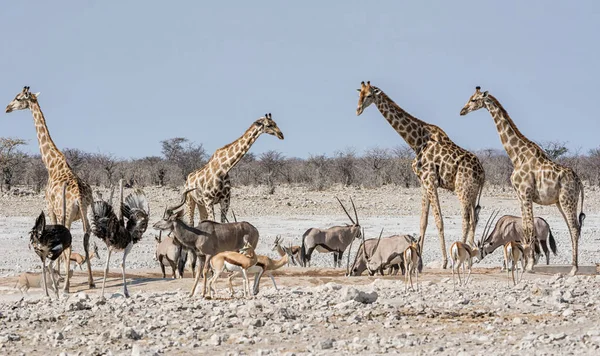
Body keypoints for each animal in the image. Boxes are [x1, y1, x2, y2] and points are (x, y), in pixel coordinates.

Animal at [5, 86, 95, 290]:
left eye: (18, 98)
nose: (7, 108)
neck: (51, 165)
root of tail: (79, 195)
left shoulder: (50, 208)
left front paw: (58, 276)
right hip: (87, 212)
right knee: (86, 238)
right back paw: (91, 282)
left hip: (66, 214)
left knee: (70, 241)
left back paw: (66, 285)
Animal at [358, 82, 486, 268]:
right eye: (359, 94)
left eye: (369, 95)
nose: (358, 109)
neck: (416, 141)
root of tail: (483, 173)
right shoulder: (424, 183)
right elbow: (423, 222)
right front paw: (419, 258)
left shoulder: (431, 181)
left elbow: (439, 221)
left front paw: (444, 262)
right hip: (473, 193)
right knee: (474, 218)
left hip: (463, 190)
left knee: (467, 219)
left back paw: (462, 257)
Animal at [460, 87, 584, 276]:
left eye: (474, 100)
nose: (462, 111)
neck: (516, 155)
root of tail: (580, 183)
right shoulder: (520, 196)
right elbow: (525, 227)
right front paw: (526, 264)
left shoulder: (526, 194)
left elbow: (530, 228)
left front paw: (530, 264)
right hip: (560, 203)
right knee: (572, 228)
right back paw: (572, 266)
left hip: (567, 200)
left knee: (575, 228)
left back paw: (574, 269)